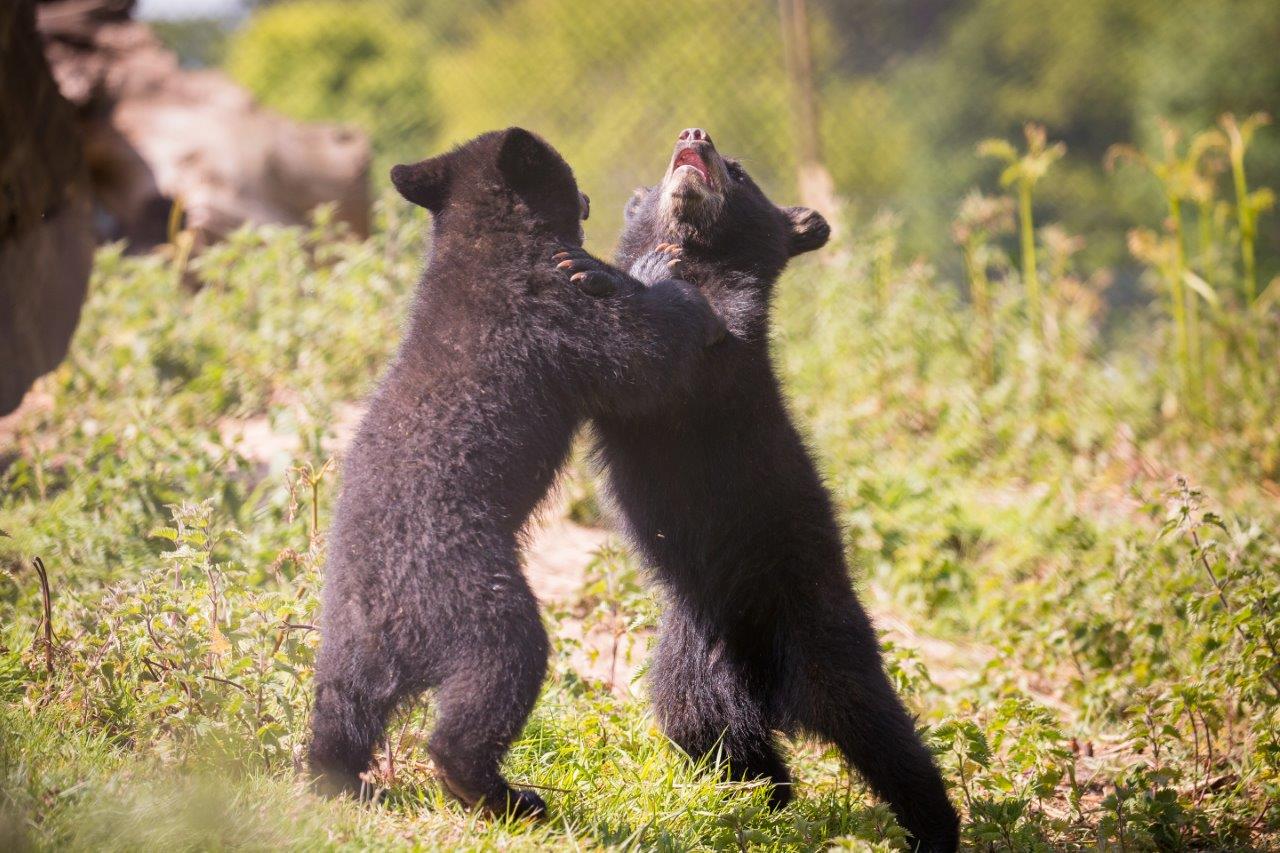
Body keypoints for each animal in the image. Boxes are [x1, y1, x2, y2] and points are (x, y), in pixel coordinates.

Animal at [308, 127, 723, 819]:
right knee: (493, 684)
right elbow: (644, 354)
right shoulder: (556, 313)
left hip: (347, 644)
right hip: (480, 603)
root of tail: (389, 618)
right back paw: (500, 792)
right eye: (569, 174)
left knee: (340, 708)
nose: (589, 198)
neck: (489, 240)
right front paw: (661, 272)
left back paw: (338, 777)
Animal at [591, 128, 960, 852]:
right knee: (717, 740)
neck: (697, 253)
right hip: (686, 669)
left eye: (737, 169)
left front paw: (630, 275)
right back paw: (764, 804)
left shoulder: (723, 355)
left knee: (884, 737)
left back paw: (936, 826)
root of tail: (764, 689)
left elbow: (681, 356)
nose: (695, 134)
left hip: (824, 640)